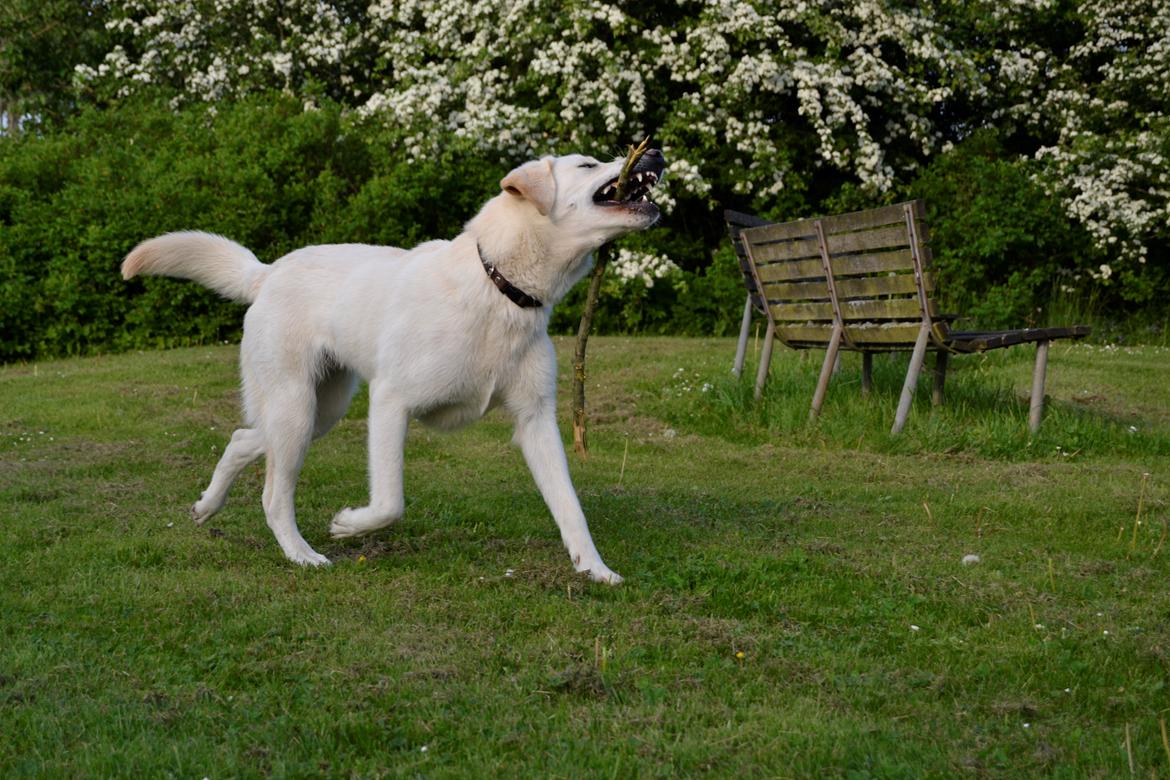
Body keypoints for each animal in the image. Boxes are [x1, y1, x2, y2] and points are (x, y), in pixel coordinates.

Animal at [123, 149, 669, 582]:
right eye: (588, 165)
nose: (656, 152)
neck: (497, 287)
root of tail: (268, 272)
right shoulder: (391, 402)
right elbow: (389, 502)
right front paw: (348, 524)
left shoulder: (536, 421)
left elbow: (570, 507)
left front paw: (594, 569)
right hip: (297, 411)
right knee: (274, 495)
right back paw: (302, 555)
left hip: (318, 412)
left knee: (242, 439)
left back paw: (207, 507)